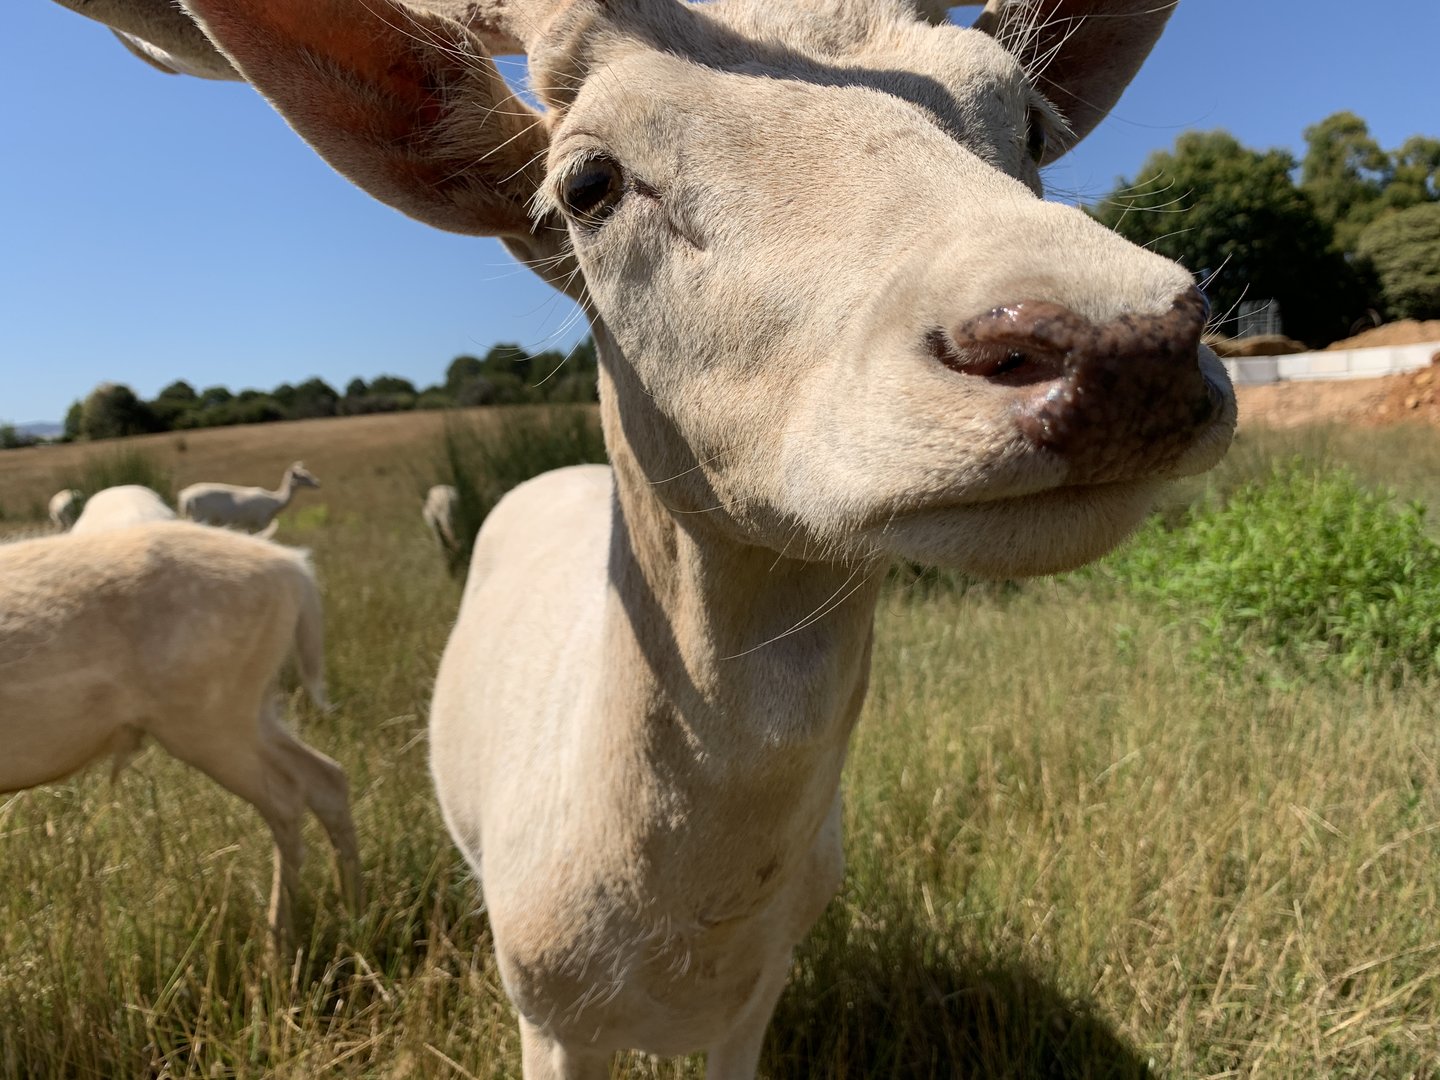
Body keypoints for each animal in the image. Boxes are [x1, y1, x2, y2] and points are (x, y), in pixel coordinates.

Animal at [51, 0, 1236, 1074]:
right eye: (588, 183)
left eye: (1029, 118)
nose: (1119, 335)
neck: (682, 937)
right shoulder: (540, 1009)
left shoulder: (760, 1001)